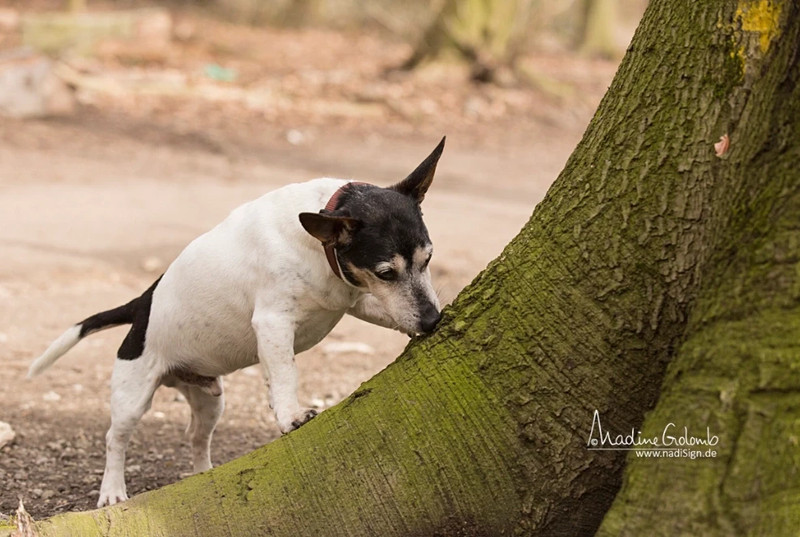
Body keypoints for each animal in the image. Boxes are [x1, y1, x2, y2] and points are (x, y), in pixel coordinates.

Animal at [29, 138, 444, 506]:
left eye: (428, 259)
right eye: (386, 272)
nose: (433, 320)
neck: (316, 243)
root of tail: (142, 304)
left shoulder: (356, 299)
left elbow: (388, 314)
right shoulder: (273, 322)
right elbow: (286, 373)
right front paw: (291, 415)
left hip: (210, 402)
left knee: (197, 437)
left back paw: (203, 474)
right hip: (132, 397)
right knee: (115, 439)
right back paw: (112, 491)